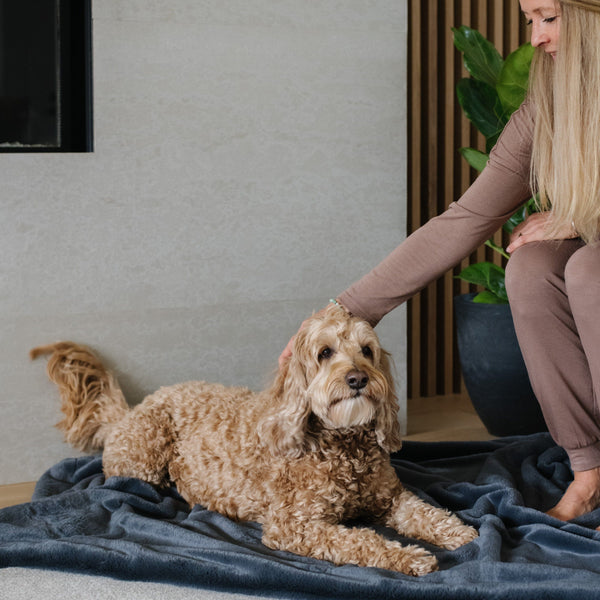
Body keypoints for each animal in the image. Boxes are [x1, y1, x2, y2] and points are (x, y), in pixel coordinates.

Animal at [32, 308, 478, 576]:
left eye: (366, 350)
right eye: (325, 353)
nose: (358, 379)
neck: (342, 445)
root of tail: (130, 411)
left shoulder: (390, 498)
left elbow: (426, 512)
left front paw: (459, 532)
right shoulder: (294, 525)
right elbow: (360, 539)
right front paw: (409, 555)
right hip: (144, 455)